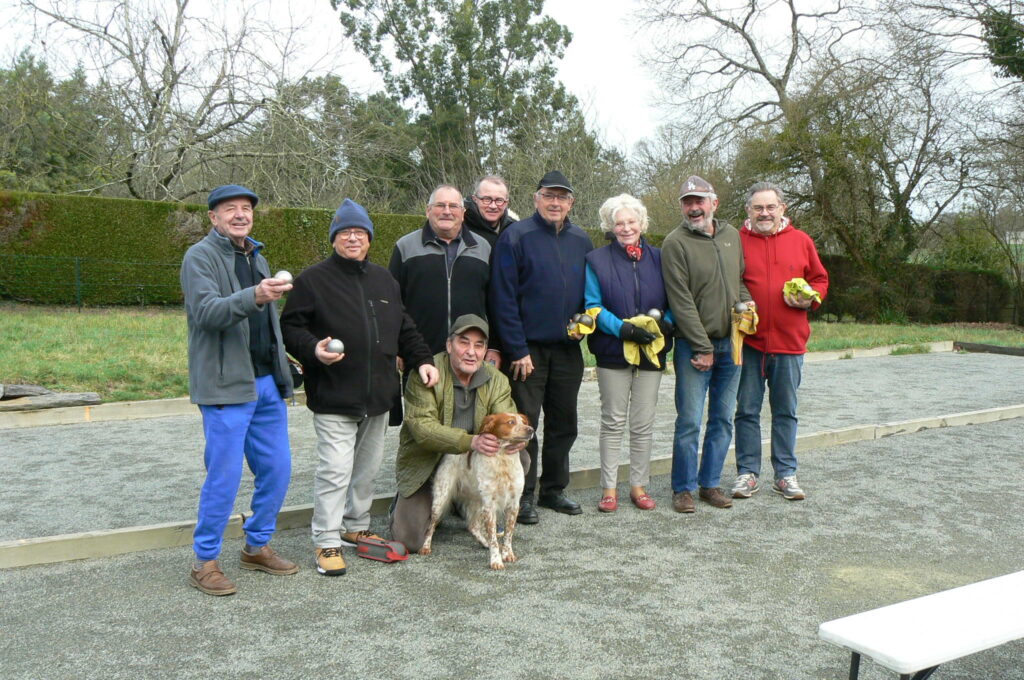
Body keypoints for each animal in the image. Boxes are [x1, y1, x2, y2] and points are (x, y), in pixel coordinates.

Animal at [419, 413, 540, 569]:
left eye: (524, 422)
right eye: (511, 422)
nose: (531, 430)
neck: (502, 459)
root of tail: (449, 454)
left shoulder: (513, 504)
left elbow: (508, 534)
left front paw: (507, 554)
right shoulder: (490, 505)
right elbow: (494, 538)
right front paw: (496, 560)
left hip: (477, 502)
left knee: (473, 526)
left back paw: (484, 543)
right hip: (441, 499)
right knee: (431, 526)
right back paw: (425, 547)